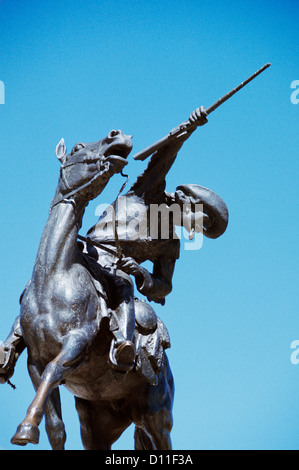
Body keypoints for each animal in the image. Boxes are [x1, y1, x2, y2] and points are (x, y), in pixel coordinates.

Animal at [9, 130, 173, 450]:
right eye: (77, 148)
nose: (117, 136)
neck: (55, 275)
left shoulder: (77, 343)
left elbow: (54, 370)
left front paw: (25, 429)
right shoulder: (34, 361)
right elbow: (55, 427)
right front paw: (31, 429)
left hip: (157, 417)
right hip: (99, 425)